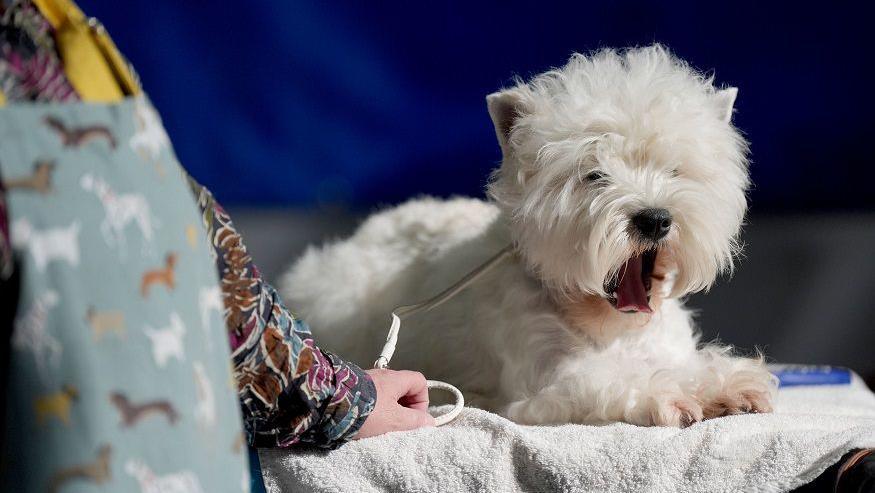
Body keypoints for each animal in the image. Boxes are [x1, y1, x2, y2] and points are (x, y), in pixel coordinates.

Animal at [280, 46, 772, 426]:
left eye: (675, 170)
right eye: (594, 175)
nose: (654, 219)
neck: (606, 326)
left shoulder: (664, 347)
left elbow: (689, 364)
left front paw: (732, 384)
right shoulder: (546, 383)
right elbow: (615, 381)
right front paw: (673, 394)